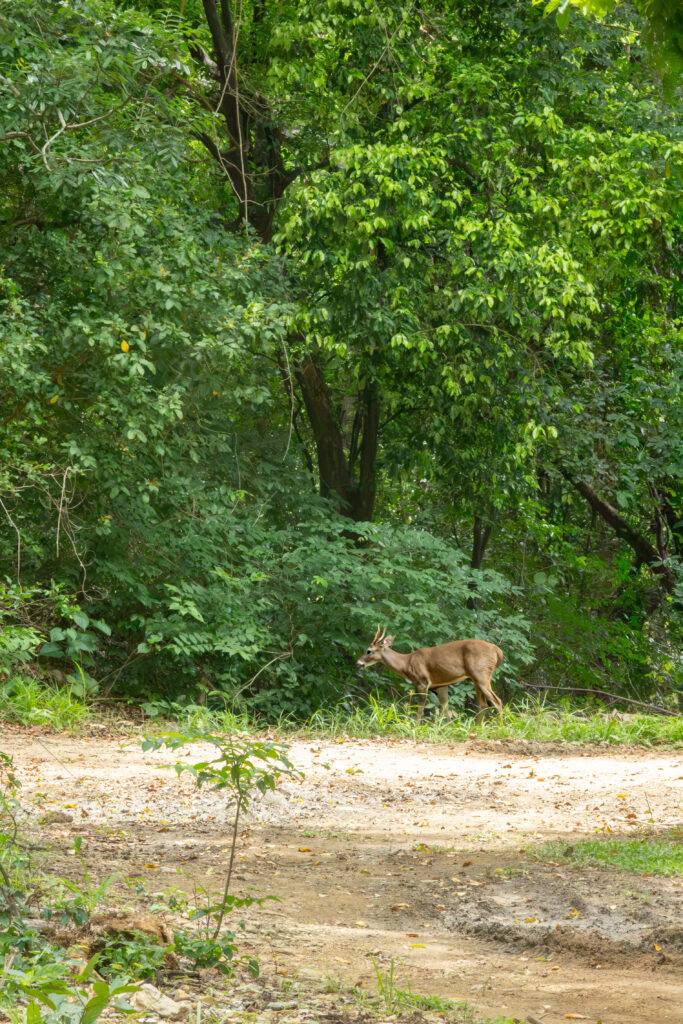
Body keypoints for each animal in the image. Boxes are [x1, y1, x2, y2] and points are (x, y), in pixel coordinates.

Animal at [356, 626, 504, 724]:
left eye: (369, 651)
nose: (358, 663)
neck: (406, 663)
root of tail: (497, 650)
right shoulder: (440, 686)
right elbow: (445, 709)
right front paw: (449, 728)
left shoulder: (422, 682)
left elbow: (419, 708)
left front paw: (415, 726)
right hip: (476, 678)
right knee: (483, 704)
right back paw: (477, 728)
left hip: (481, 674)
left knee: (498, 701)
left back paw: (501, 726)